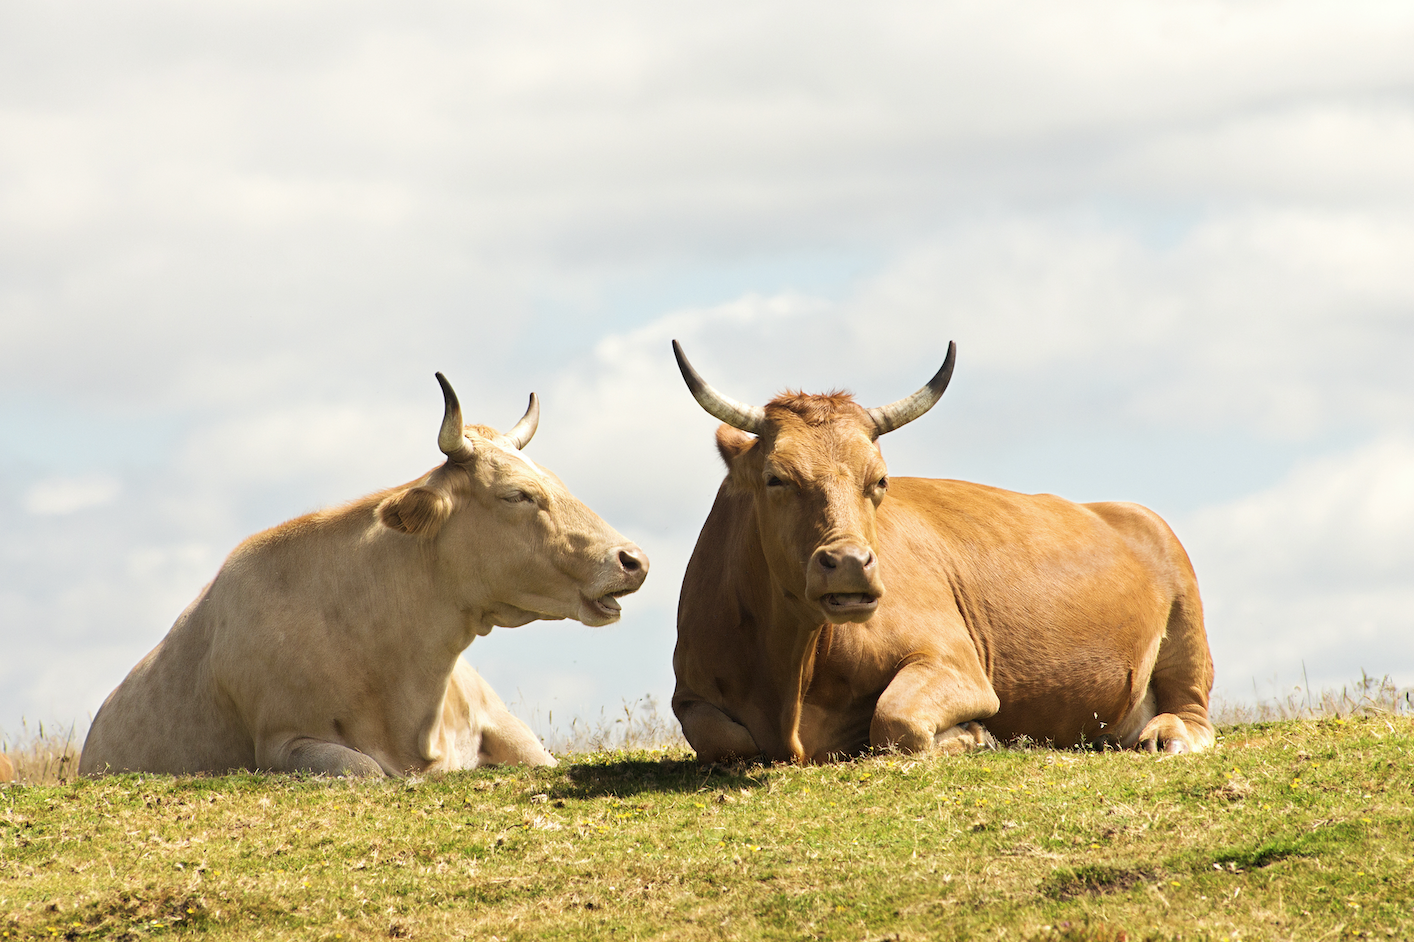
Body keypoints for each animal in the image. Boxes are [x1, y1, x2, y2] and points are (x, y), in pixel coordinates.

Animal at [667, 340, 1210, 758]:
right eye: (775, 478)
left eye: (880, 480)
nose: (849, 565)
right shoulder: (687, 695)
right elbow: (725, 739)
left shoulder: (957, 663)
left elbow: (894, 720)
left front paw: (974, 737)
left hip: (1186, 630)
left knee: (1192, 710)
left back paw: (1168, 736)